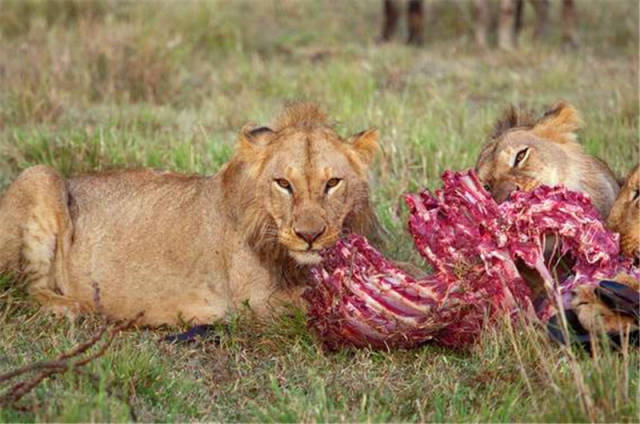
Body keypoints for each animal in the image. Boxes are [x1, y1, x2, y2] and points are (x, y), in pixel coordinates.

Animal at [0, 102, 380, 324]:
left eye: (332, 183)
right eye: (284, 184)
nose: (309, 236)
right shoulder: (255, 301)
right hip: (41, 175)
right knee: (25, 290)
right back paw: (79, 308)